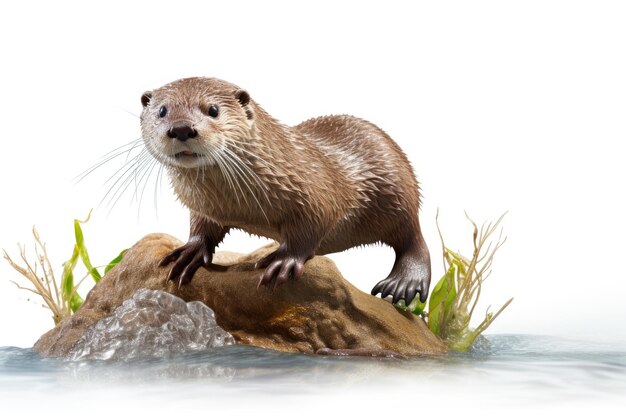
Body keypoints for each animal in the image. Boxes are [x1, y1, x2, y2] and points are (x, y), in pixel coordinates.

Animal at [138, 76, 428, 302]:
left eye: (213, 109)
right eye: (162, 111)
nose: (182, 128)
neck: (237, 203)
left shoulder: (315, 190)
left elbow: (313, 225)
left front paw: (283, 261)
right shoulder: (205, 207)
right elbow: (203, 226)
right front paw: (191, 251)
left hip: (397, 192)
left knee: (413, 239)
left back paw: (404, 282)